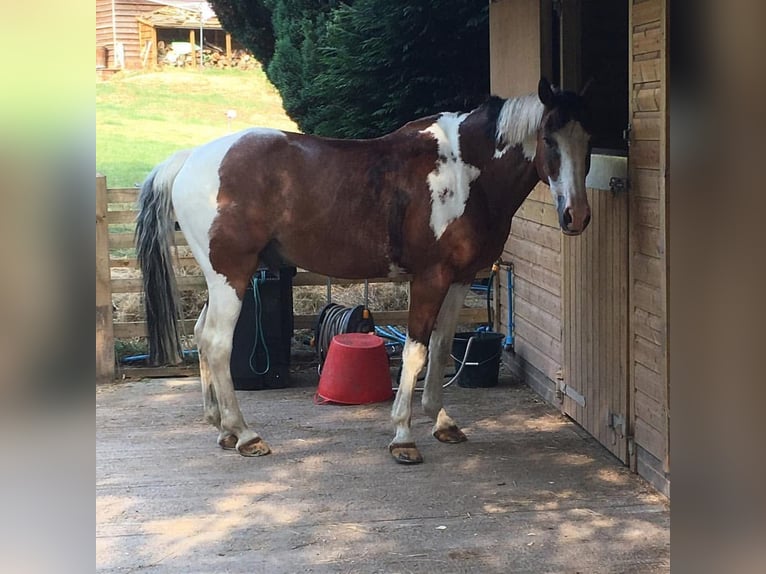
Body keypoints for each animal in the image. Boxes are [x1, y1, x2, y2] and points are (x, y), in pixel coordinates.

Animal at [138, 77, 592, 464]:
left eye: (588, 140)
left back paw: (223, 429)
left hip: (221, 280)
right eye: (549, 139)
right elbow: (415, 351)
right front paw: (403, 437)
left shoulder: (460, 279)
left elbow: (443, 346)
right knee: (217, 343)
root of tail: (191, 159)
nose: (577, 216)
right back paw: (246, 434)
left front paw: (441, 421)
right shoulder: (430, 278)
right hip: (231, 277)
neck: (463, 171)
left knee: (201, 335)